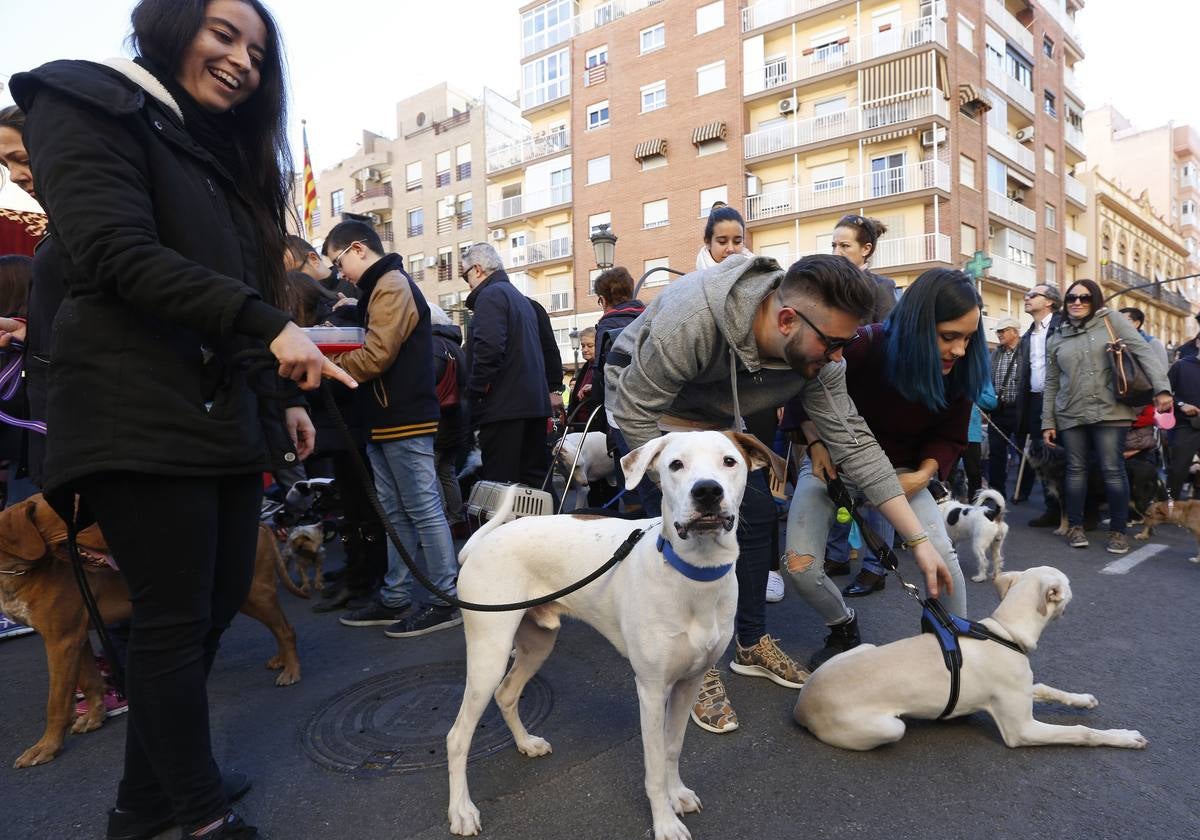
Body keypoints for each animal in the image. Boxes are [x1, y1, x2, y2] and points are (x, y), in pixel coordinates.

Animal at [0, 499, 304, 768]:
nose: (122, 540)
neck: (19, 570)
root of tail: (260, 523)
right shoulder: (75, 637)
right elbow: (89, 681)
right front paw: (95, 716)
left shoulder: (60, 641)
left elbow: (56, 703)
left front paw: (46, 747)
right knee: (279, 627)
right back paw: (280, 660)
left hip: (250, 592)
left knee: (286, 629)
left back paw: (291, 670)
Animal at [446, 429, 772, 835]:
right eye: (676, 465)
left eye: (729, 461)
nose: (707, 491)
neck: (694, 572)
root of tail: (478, 546)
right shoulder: (651, 690)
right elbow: (653, 766)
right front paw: (664, 822)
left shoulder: (689, 682)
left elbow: (672, 748)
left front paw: (677, 794)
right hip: (488, 653)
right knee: (458, 736)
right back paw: (461, 811)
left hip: (537, 643)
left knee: (507, 694)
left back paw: (526, 743)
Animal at [792, 568, 1147, 753]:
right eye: (1067, 585)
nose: (1075, 590)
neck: (1006, 631)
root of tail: (801, 705)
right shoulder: (1021, 730)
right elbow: (1081, 732)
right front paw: (1124, 737)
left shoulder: (1021, 691)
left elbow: (1048, 688)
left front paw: (1082, 699)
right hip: (891, 727)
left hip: (865, 646)